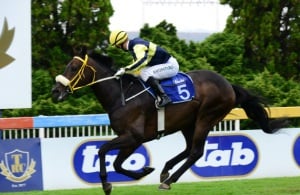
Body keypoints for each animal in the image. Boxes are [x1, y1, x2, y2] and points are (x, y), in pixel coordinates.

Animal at [51, 47, 286, 195]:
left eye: (73, 68)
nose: (55, 91)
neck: (121, 96)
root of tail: (228, 85)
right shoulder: (131, 139)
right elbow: (116, 163)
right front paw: (143, 171)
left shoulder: (133, 136)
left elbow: (102, 151)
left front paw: (107, 184)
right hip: (188, 123)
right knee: (189, 149)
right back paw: (165, 171)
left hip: (206, 117)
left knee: (196, 151)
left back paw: (169, 181)